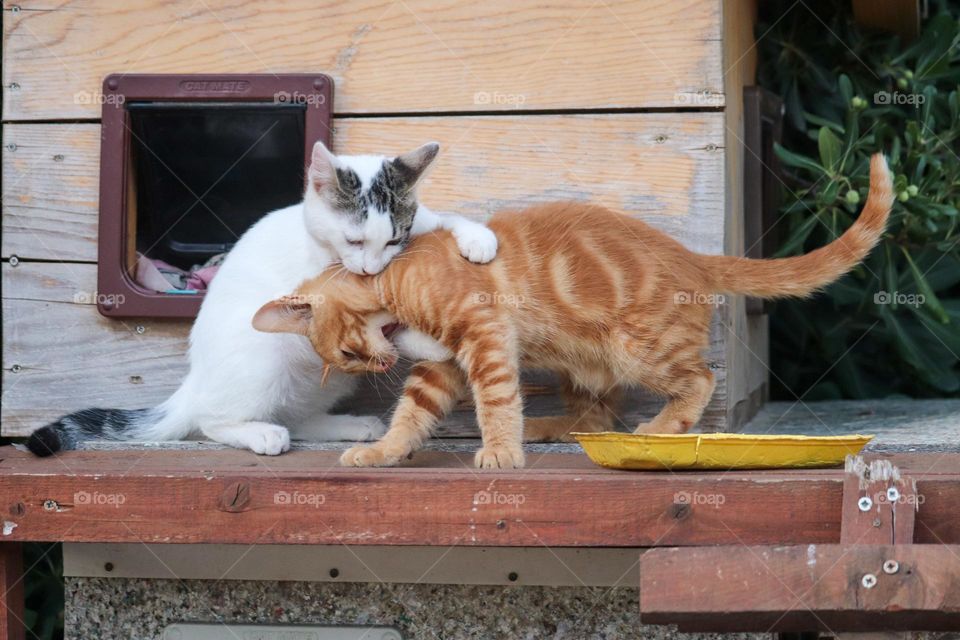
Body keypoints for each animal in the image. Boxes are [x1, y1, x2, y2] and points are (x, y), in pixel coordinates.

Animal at [30, 140, 496, 456]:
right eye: (354, 240)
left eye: (394, 239)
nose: (371, 269)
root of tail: (194, 382)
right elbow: (385, 328)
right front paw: (430, 342)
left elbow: (439, 220)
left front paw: (478, 238)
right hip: (261, 356)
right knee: (211, 419)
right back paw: (260, 433)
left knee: (297, 415)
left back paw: (346, 425)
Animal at [253, 152, 892, 468]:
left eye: (348, 351)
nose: (379, 368)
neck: (397, 276)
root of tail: (692, 254)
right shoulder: (444, 366)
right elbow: (412, 414)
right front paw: (385, 452)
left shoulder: (484, 338)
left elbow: (496, 401)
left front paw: (502, 453)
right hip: (581, 365)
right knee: (596, 418)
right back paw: (547, 426)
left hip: (641, 349)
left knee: (698, 381)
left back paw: (660, 428)